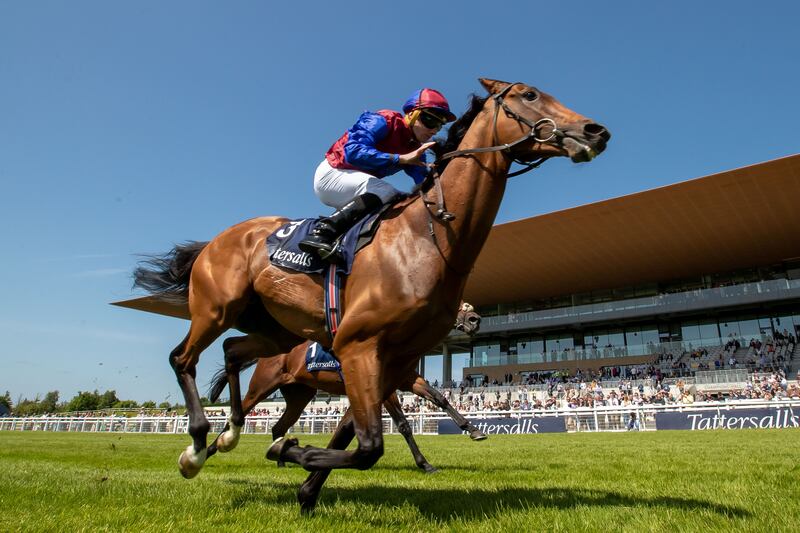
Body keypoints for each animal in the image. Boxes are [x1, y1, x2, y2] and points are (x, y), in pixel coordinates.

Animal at [133, 79, 608, 512]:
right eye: (529, 95)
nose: (595, 130)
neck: (428, 238)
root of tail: (217, 239)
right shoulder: (360, 349)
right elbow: (369, 446)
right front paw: (296, 459)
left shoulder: (391, 366)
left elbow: (360, 436)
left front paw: (306, 485)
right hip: (217, 308)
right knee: (184, 359)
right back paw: (198, 448)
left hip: (277, 336)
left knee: (235, 354)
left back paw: (232, 433)